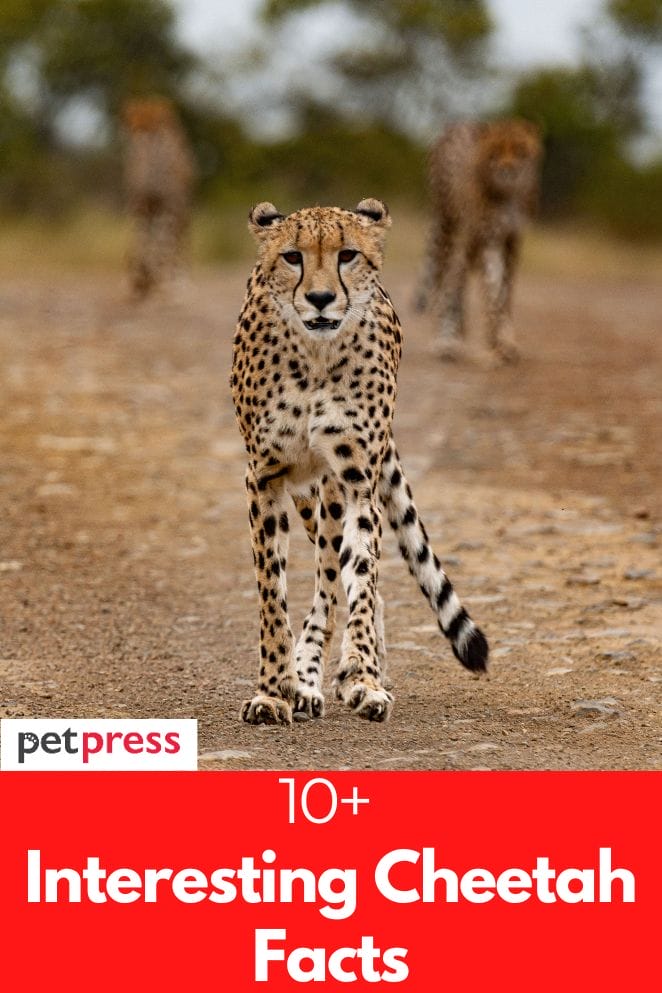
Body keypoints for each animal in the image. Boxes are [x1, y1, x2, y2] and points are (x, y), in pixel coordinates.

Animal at [121, 97, 196, 299]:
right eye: (131, 124)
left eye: (149, 125)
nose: (136, 137)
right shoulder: (141, 204)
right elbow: (143, 243)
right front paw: (142, 281)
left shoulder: (169, 207)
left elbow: (163, 245)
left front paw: (162, 285)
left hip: (182, 215)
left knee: (178, 248)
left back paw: (177, 281)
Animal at [231, 198, 488, 726]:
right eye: (293, 257)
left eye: (347, 254)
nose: (321, 298)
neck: (314, 356)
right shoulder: (265, 476)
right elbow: (271, 593)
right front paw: (272, 690)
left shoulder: (354, 478)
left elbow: (361, 579)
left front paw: (364, 679)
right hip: (307, 495)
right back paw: (306, 681)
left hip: (332, 491)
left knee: (335, 579)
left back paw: (335, 673)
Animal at [414, 119, 542, 364]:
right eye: (496, 152)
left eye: (520, 149)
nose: (508, 170)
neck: (508, 195)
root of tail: (455, 125)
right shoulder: (488, 239)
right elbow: (492, 293)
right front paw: (496, 344)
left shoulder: (511, 241)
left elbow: (505, 292)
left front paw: (505, 341)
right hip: (448, 228)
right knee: (444, 285)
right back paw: (446, 340)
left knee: (457, 283)